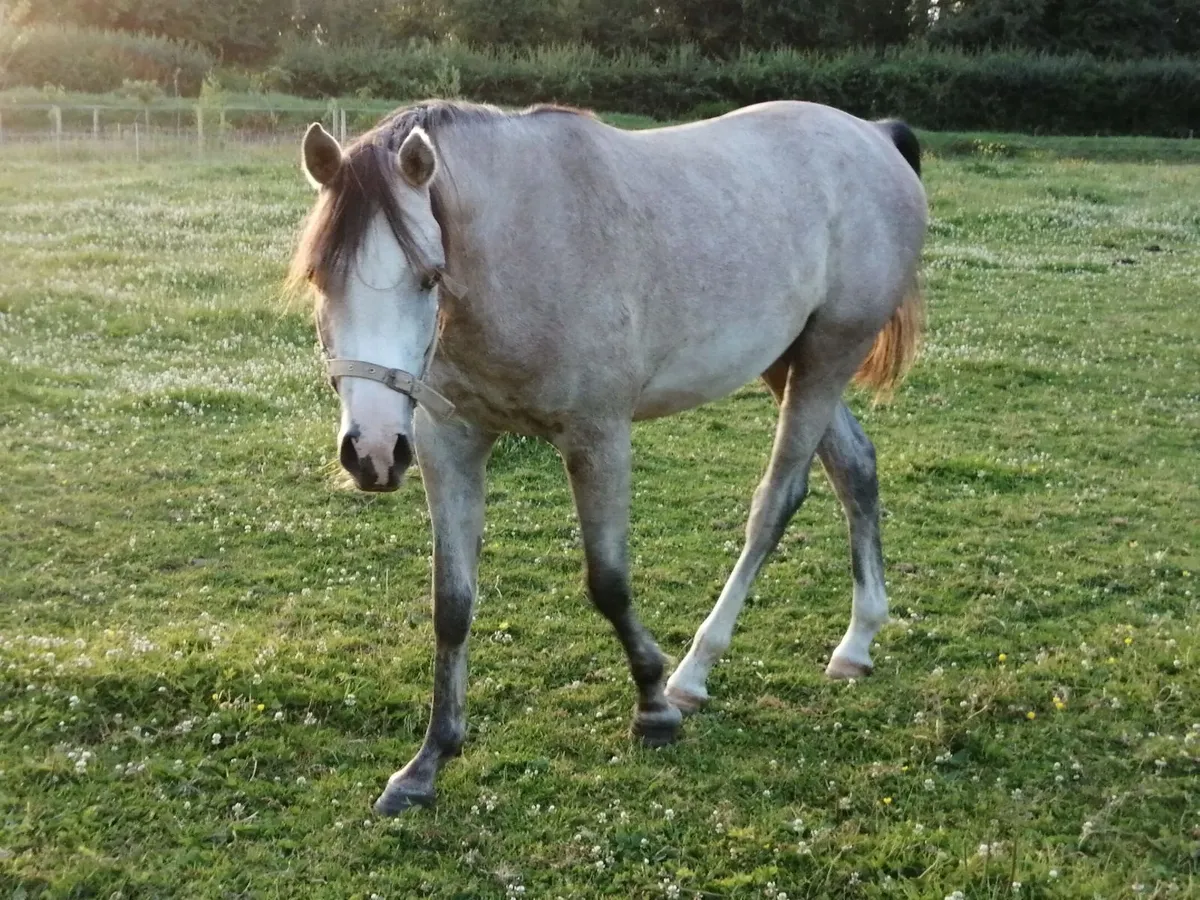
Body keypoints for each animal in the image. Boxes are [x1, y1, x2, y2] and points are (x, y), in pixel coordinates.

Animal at [287, 99, 927, 814]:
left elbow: (609, 581)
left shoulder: (599, 437)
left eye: (429, 276)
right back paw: (858, 642)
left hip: (827, 358)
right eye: (318, 277)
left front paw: (653, 708)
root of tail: (874, 136)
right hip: (790, 361)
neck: (523, 247)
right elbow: (451, 604)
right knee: (856, 469)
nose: (372, 451)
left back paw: (693, 675)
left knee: (776, 503)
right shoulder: (446, 443)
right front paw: (426, 763)